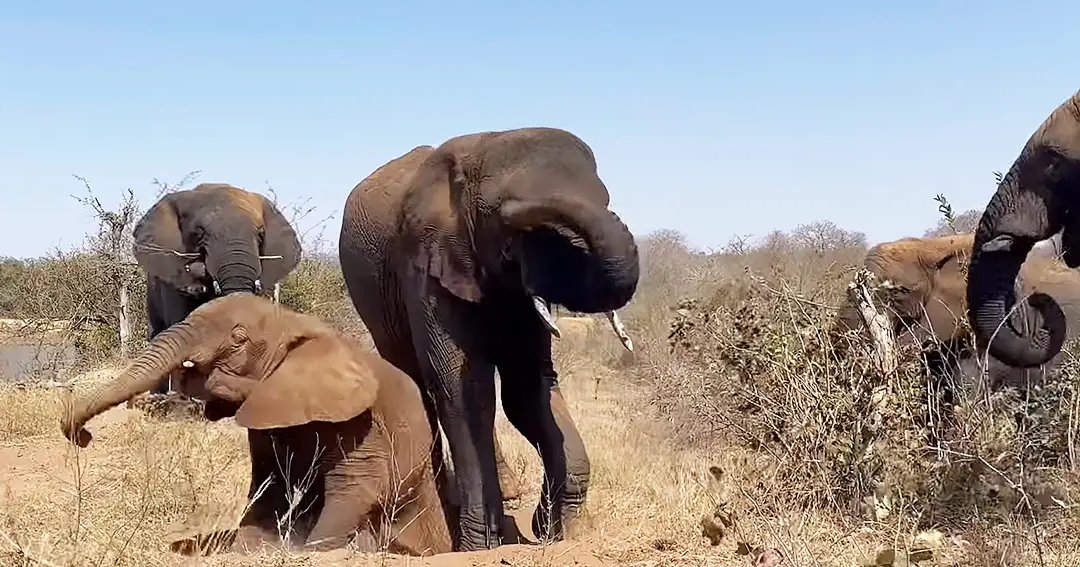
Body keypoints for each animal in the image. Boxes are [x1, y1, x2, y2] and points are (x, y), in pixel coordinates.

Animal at [58, 293, 452, 556]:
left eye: (238, 339)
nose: (82, 436)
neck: (293, 322)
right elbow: (270, 482)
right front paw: (248, 548)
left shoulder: (358, 417)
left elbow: (357, 485)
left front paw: (309, 551)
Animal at [338, 127, 640, 550]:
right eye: (509, 224)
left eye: (606, 198)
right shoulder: (427, 265)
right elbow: (464, 393)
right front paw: (478, 546)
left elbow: (526, 388)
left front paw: (556, 531)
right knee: (417, 387)